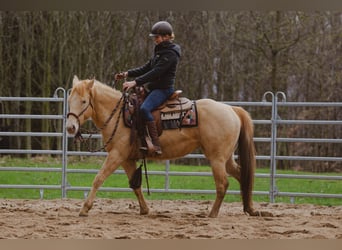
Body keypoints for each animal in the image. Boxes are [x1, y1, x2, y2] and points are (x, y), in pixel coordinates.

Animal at [67, 75, 270, 217]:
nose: (70, 127)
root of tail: (231, 109)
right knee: (243, 175)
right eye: (69, 100)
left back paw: (212, 214)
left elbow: (98, 178)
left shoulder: (117, 155)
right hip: (226, 158)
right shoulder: (126, 159)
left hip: (217, 159)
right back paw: (250, 209)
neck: (120, 114)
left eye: (84, 101)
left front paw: (85, 209)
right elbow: (135, 185)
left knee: (223, 184)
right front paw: (144, 209)